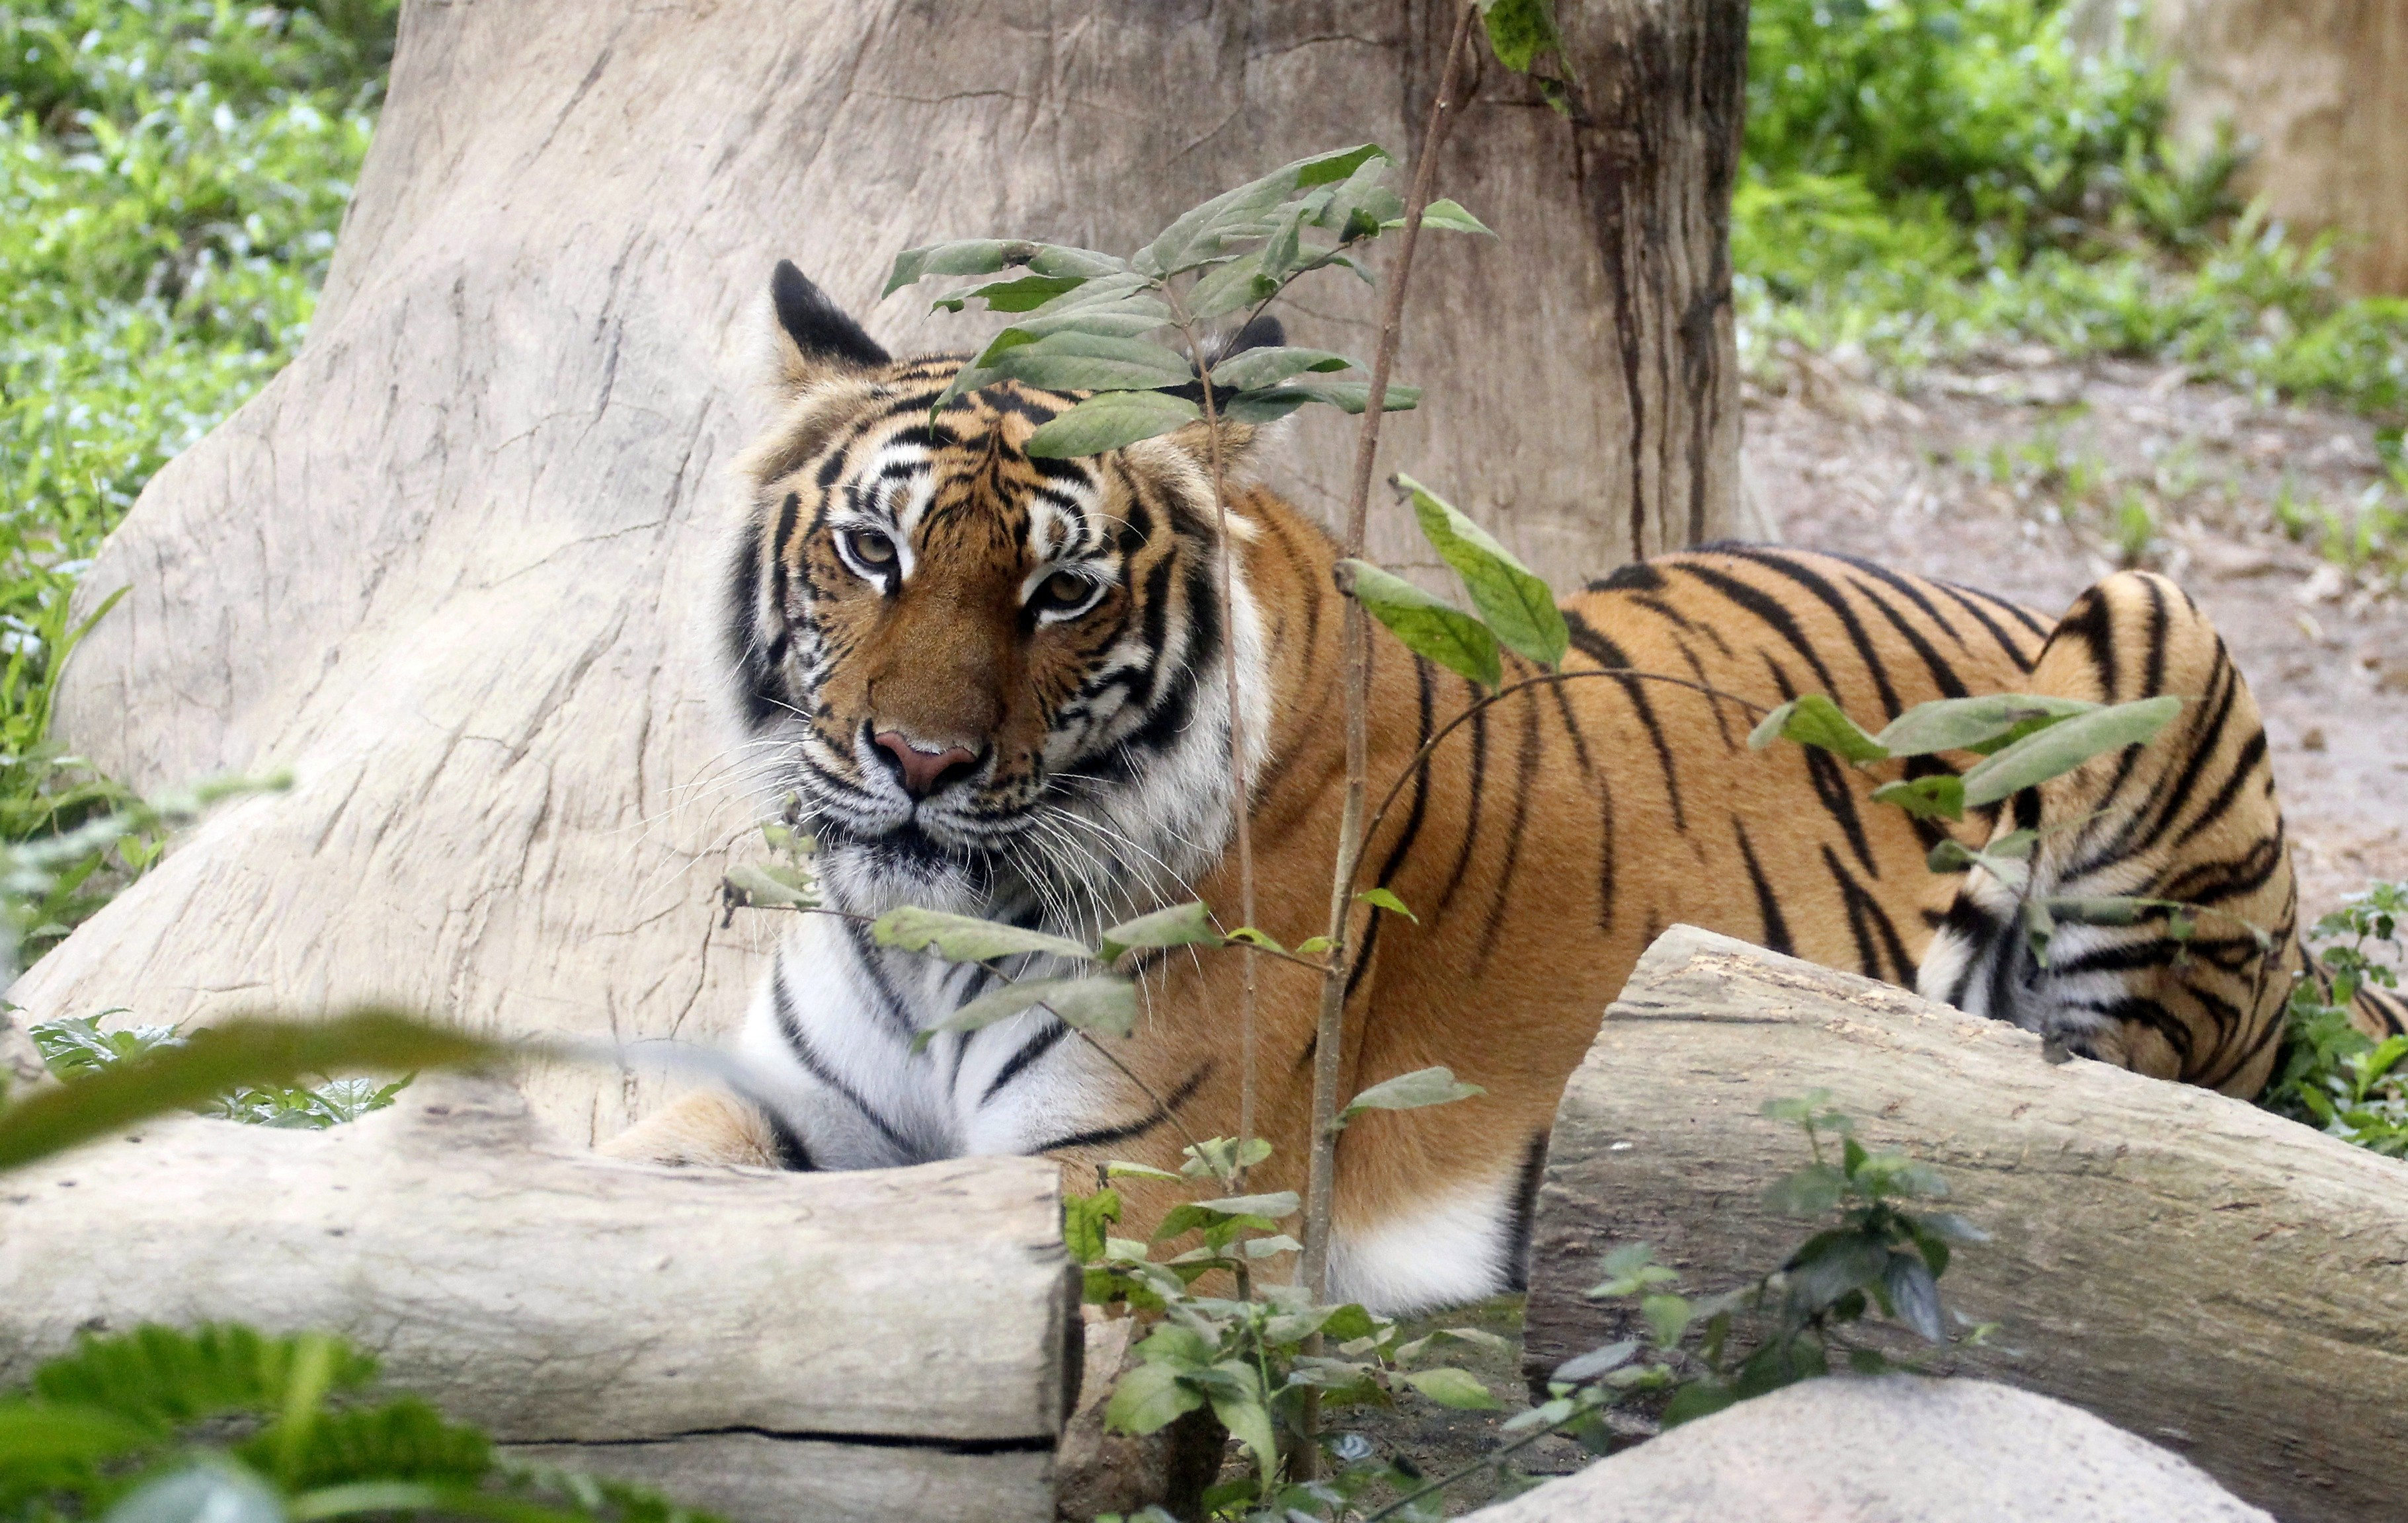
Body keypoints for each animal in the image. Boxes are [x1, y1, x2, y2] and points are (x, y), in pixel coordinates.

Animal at [606, 260, 2408, 1309]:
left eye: (1061, 592)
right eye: (873, 553)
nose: (917, 766)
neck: (929, 939)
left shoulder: (1141, 1183)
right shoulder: (781, 1099)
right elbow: (633, 1173)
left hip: (2152, 624)